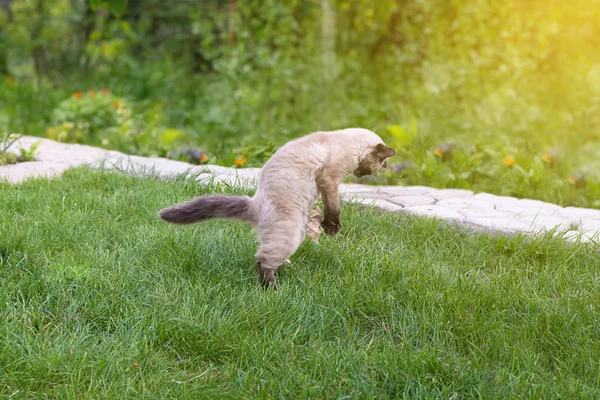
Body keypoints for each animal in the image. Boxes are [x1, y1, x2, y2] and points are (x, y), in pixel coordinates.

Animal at [157, 127, 396, 288]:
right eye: (379, 164)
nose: (362, 175)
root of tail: (255, 205)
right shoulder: (329, 180)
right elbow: (333, 209)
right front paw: (332, 228)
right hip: (291, 231)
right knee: (262, 260)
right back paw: (273, 290)